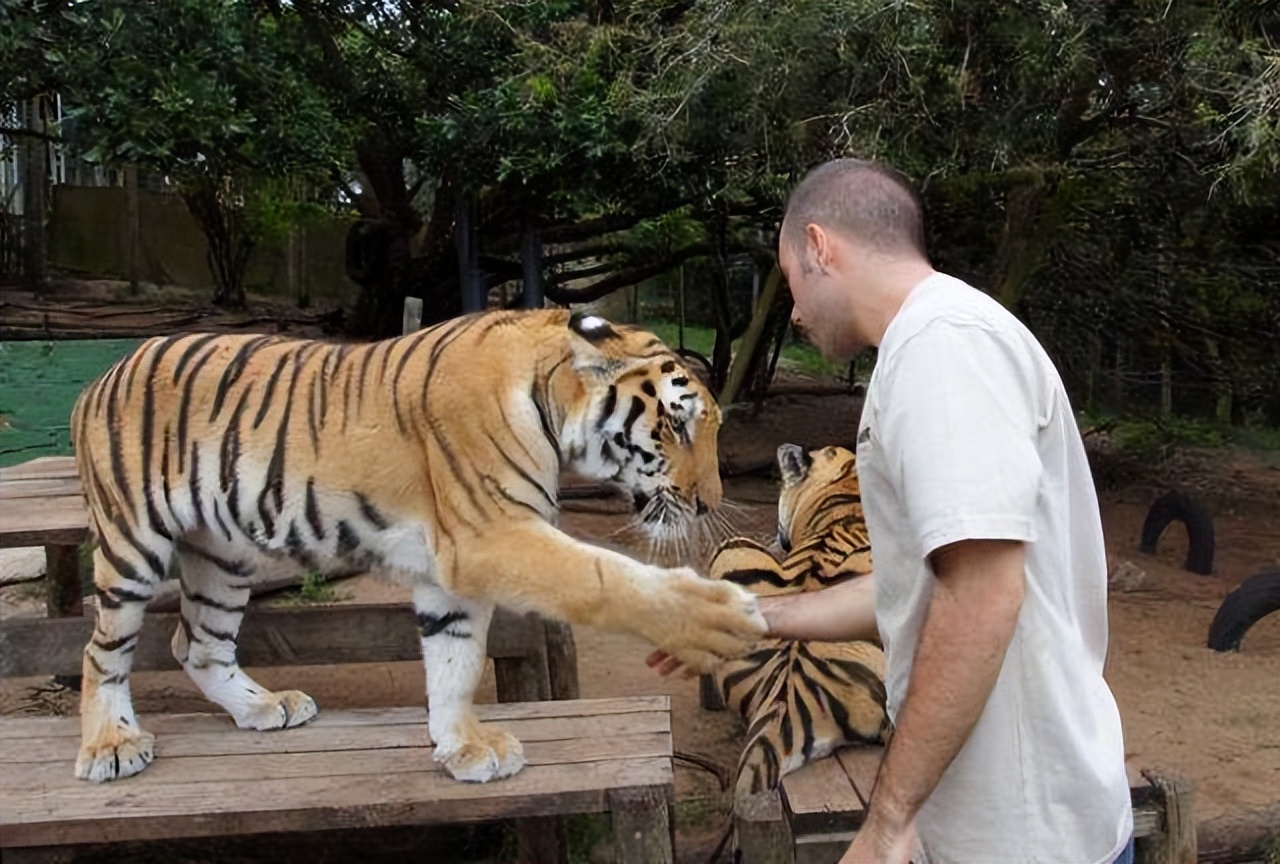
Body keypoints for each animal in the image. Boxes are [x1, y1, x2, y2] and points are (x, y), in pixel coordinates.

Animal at [70, 309, 762, 783]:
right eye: (677, 426)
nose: (708, 503)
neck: (547, 402)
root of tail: (101, 375)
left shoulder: (451, 567)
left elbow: (456, 661)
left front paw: (464, 748)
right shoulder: (489, 535)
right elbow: (601, 577)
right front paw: (713, 620)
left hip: (224, 554)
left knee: (199, 645)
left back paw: (265, 707)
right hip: (132, 544)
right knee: (102, 651)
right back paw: (111, 746)